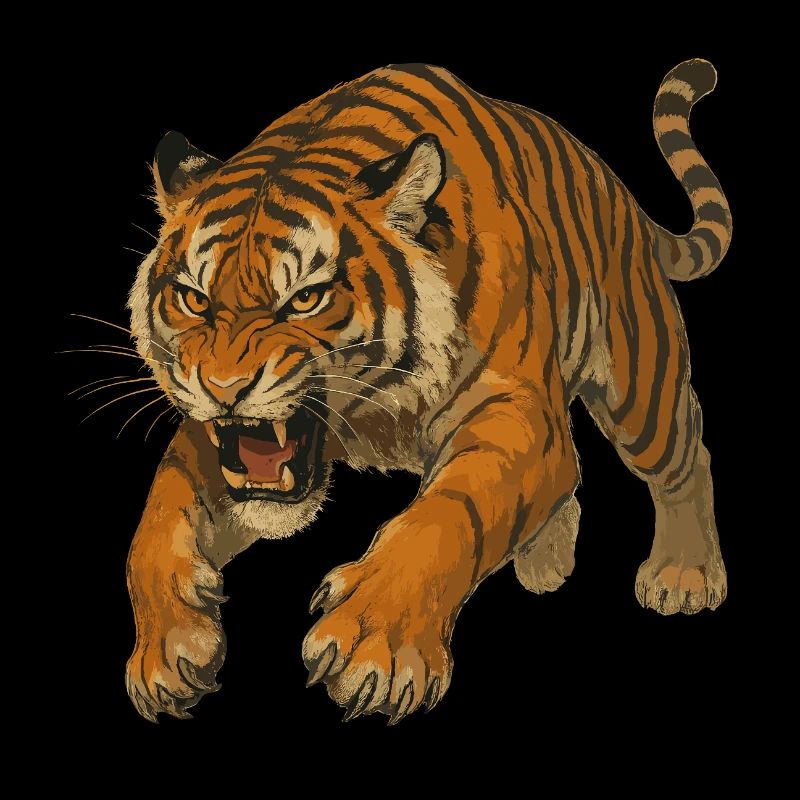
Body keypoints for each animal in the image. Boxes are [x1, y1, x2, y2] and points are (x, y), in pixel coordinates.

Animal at [123, 59, 731, 723]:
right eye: (193, 299)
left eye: (306, 298)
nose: (224, 388)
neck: (372, 409)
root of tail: (613, 184)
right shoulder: (209, 439)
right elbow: (155, 522)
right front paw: (165, 653)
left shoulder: (515, 411)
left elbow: (447, 515)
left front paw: (372, 646)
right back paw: (546, 563)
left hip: (640, 388)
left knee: (686, 456)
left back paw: (683, 573)